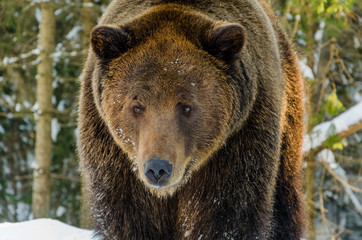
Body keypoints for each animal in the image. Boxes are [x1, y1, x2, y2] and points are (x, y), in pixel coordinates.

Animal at [78, 0, 306, 239]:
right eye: (137, 106)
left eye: (186, 106)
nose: (157, 169)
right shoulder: (115, 158)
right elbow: (130, 220)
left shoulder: (238, 145)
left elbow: (228, 217)